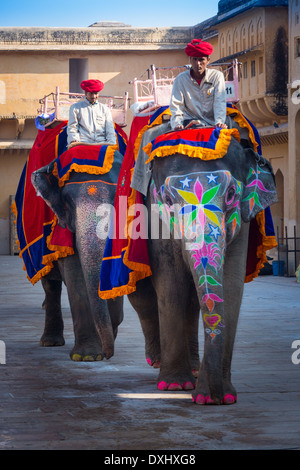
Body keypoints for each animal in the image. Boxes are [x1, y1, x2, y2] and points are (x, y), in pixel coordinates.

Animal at [31, 152, 123, 362]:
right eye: (68, 201)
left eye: (117, 197)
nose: (108, 355)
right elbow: (75, 276)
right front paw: (88, 357)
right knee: (51, 286)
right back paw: (50, 342)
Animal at [127, 123, 278, 406]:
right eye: (167, 200)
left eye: (231, 194)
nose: (211, 398)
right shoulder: (154, 218)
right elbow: (171, 284)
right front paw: (174, 386)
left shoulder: (241, 222)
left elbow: (231, 285)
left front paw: (222, 397)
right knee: (143, 296)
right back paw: (163, 365)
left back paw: (195, 371)